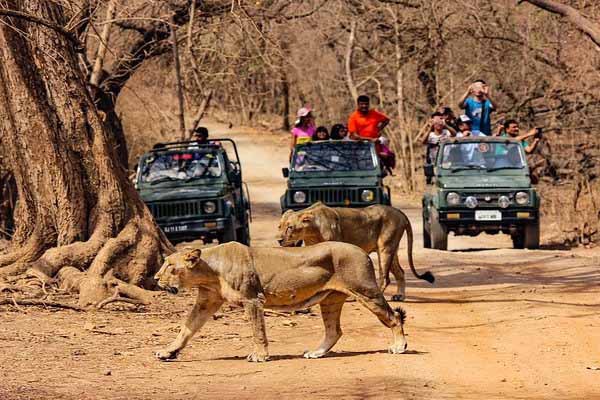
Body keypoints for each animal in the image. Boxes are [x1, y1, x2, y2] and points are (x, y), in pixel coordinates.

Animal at [155, 241, 408, 362]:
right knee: (334, 330)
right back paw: (316, 353)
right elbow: (186, 329)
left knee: (394, 316)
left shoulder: (252, 299)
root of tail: (363, 252)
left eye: (170, 266)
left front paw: (259, 356)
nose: (156, 278)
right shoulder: (206, 301)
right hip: (330, 300)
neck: (209, 271)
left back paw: (399, 347)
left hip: (365, 291)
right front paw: (168, 352)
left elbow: (258, 331)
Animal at [274, 203, 434, 300]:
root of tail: (400, 213)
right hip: (391, 249)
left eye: (290, 227)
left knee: (385, 277)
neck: (312, 232)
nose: (279, 240)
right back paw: (399, 296)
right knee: (400, 272)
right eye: (279, 226)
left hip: (385, 248)